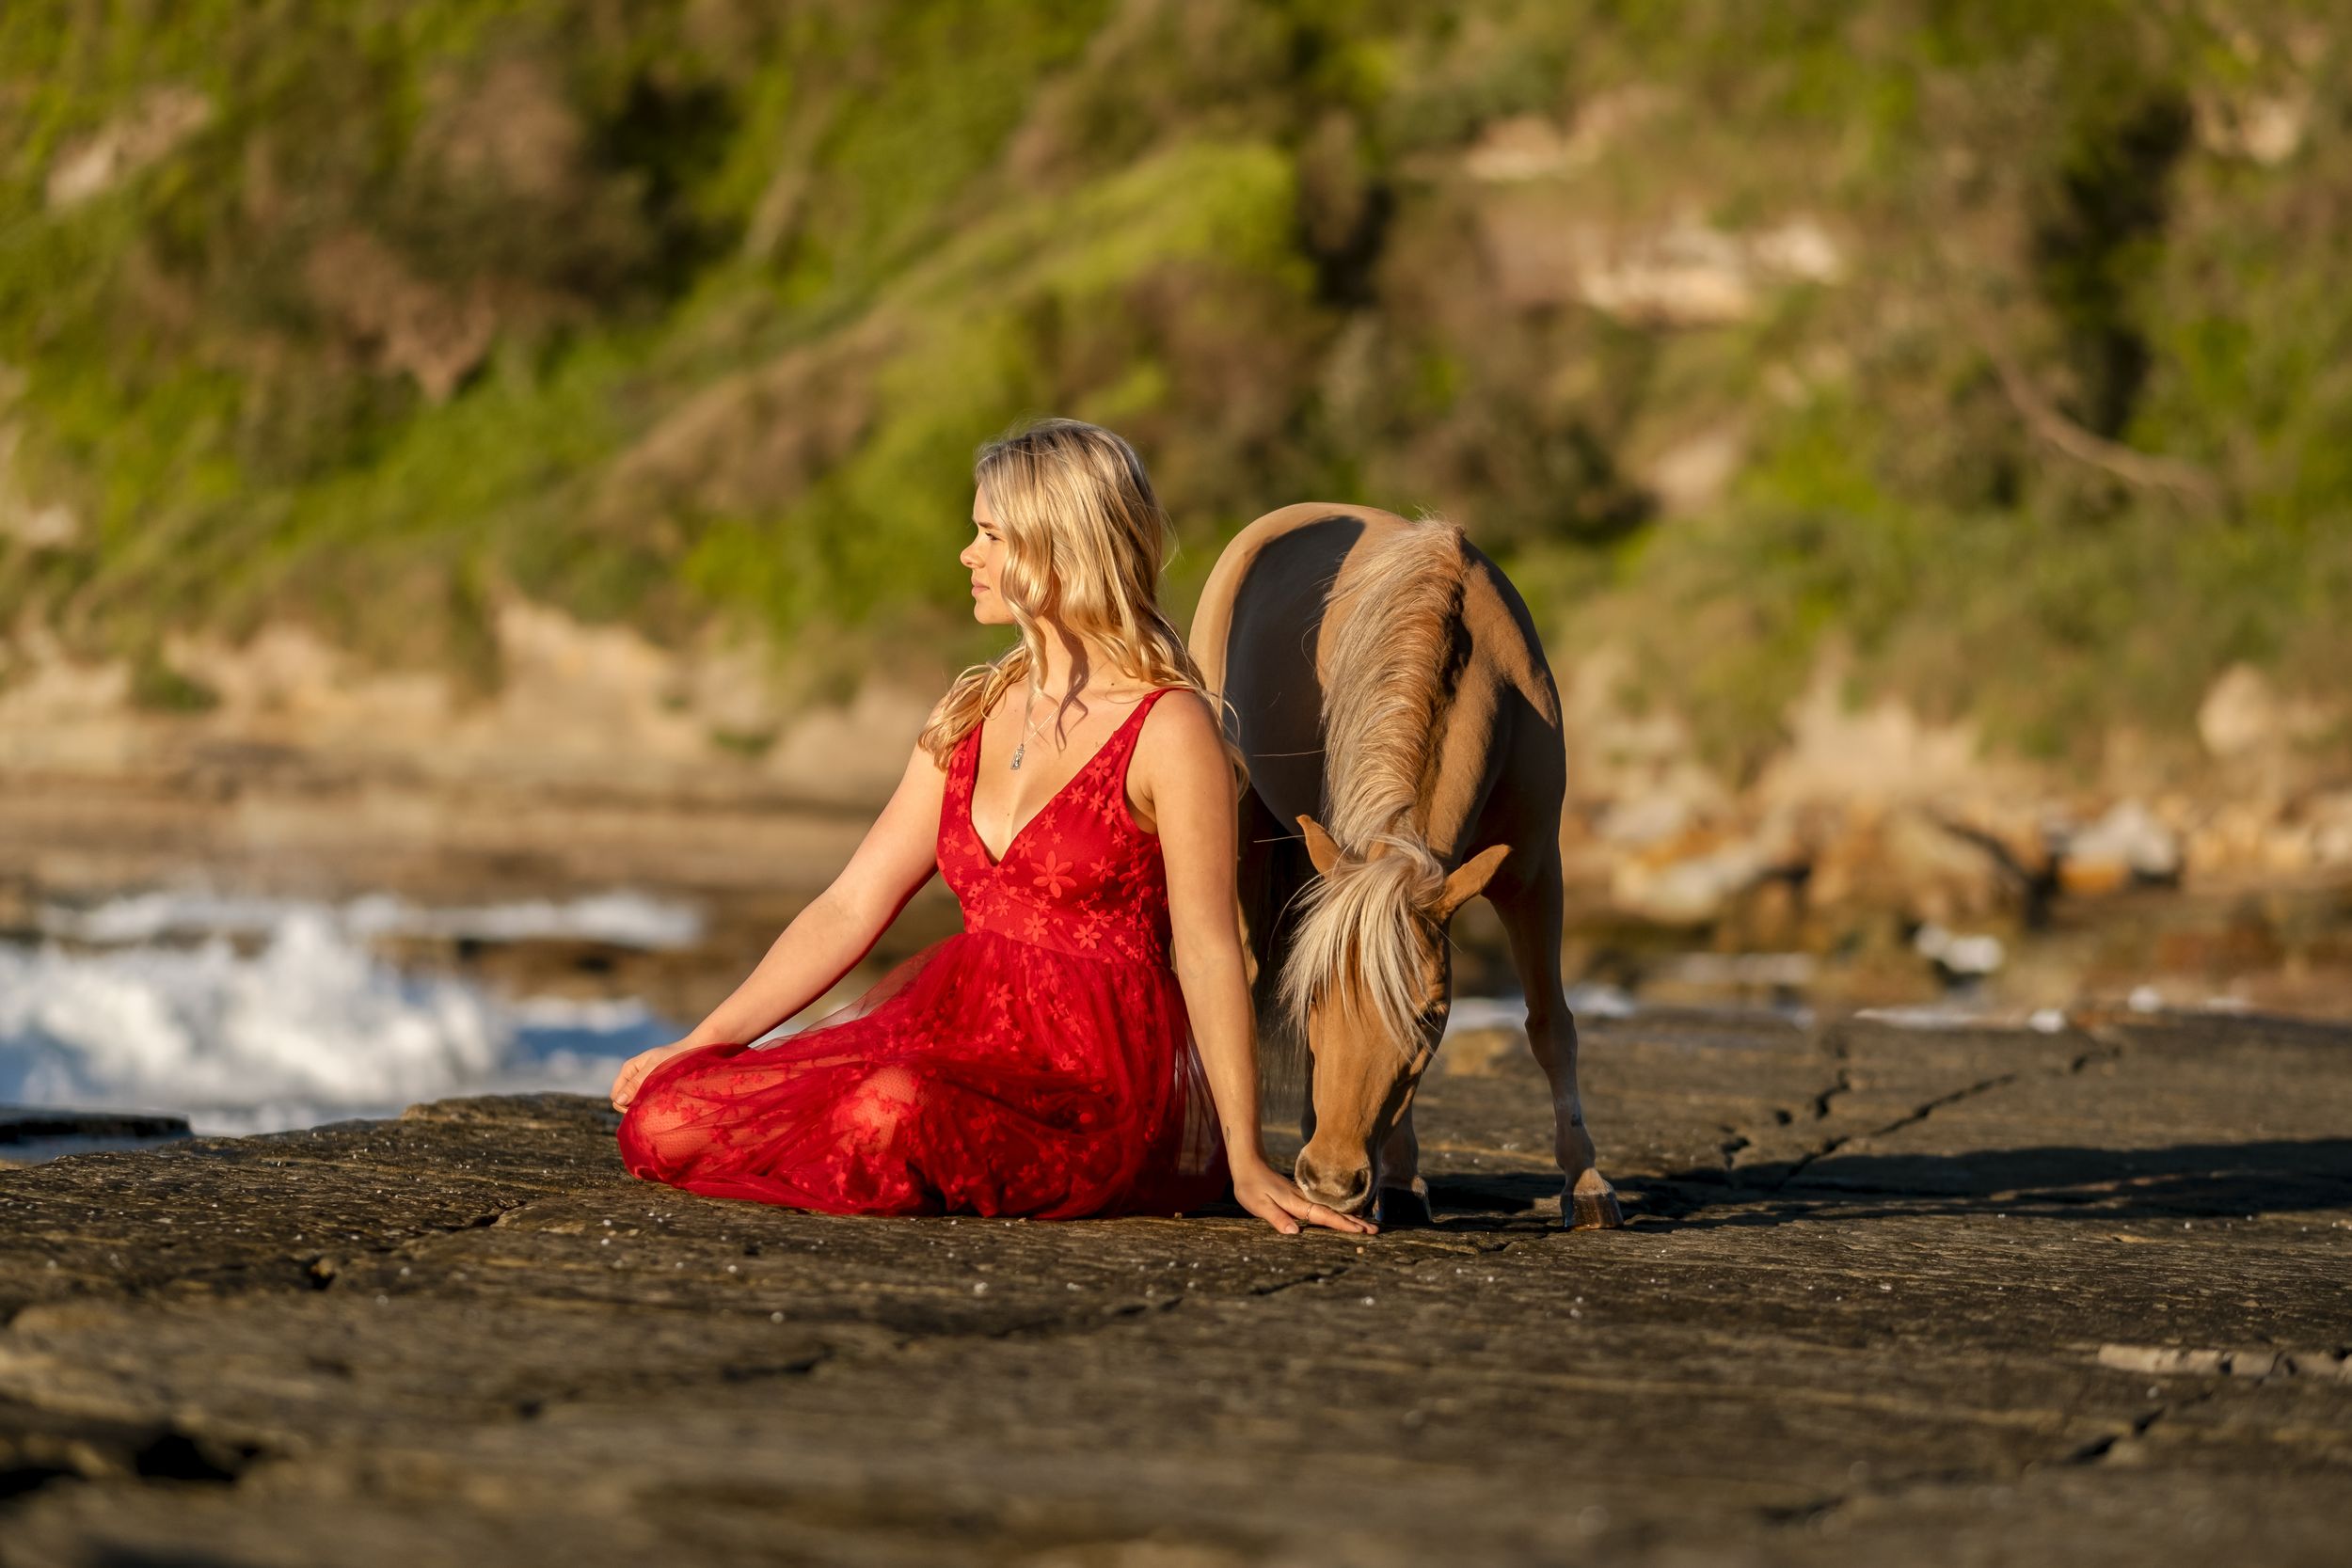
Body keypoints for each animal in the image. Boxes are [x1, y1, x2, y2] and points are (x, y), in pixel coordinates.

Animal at [1188, 503, 1622, 1230]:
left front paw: (1585, 1180)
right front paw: (1396, 1178)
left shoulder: (1534, 874)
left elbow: (1550, 1024)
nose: (1331, 1179)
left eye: (1430, 1014)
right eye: (1314, 999)